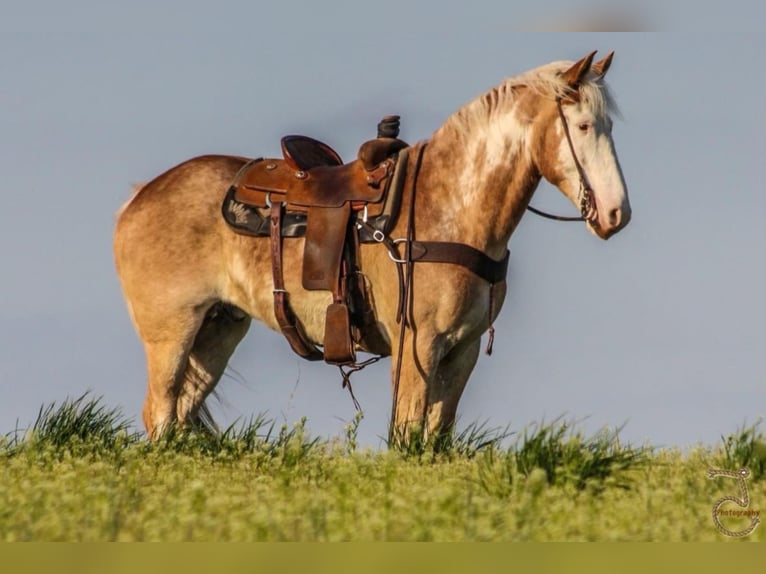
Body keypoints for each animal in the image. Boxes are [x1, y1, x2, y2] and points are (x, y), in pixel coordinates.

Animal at [112, 53, 632, 440]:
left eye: (609, 125)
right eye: (583, 126)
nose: (616, 214)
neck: (450, 205)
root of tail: (138, 198)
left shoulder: (460, 350)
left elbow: (436, 437)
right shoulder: (417, 344)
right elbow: (407, 436)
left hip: (217, 330)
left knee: (179, 414)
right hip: (171, 333)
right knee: (159, 414)